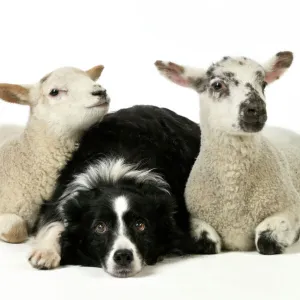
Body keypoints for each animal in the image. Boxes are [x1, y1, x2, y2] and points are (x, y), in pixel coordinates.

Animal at [28, 105, 202, 276]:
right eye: (100, 227)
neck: (114, 177)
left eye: (140, 225)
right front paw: (45, 253)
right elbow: (53, 221)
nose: (123, 256)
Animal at [155, 51, 300, 253]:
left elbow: (266, 241)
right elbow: (206, 243)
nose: (256, 109)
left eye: (263, 84)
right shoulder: (195, 217)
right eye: (217, 85)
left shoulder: (291, 208)